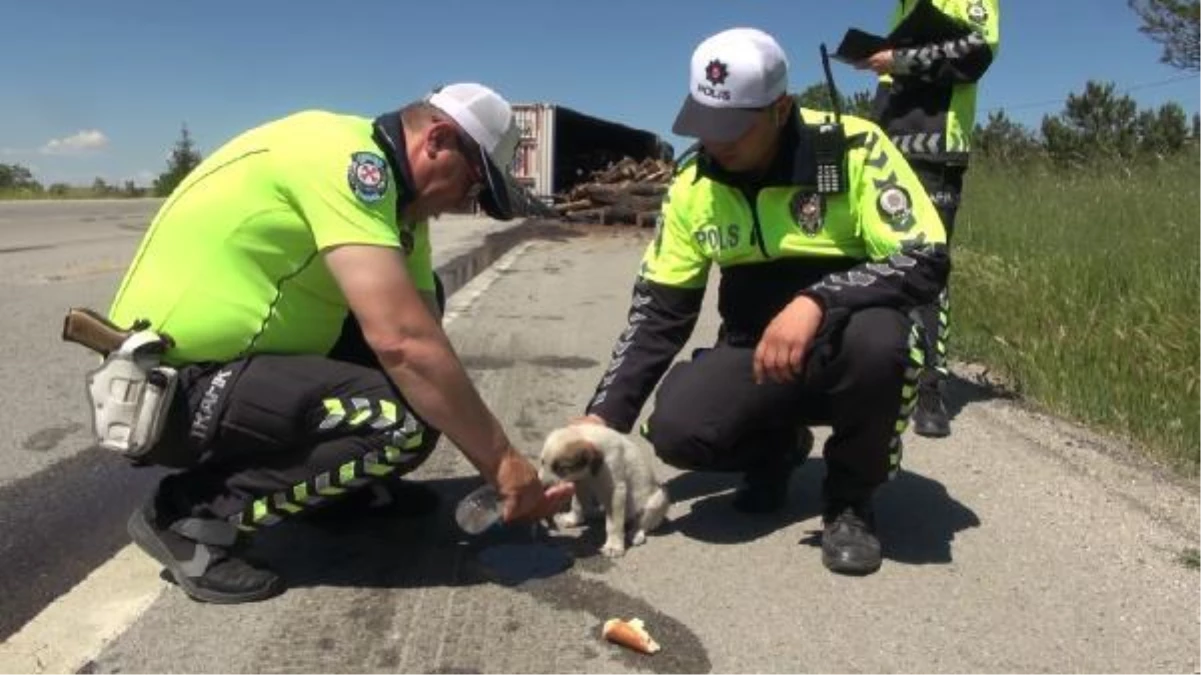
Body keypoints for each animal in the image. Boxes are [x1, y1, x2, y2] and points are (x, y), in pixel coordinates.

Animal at [540, 420, 672, 557]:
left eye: (562, 469)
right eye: (542, 462)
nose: (542, 487)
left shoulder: (614, 491)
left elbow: (613, 524)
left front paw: (613, 546)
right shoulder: (581, 482)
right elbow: (577, 504)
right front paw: (573, 519)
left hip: (659, 499)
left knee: (642, 524)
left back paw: (635, 534)